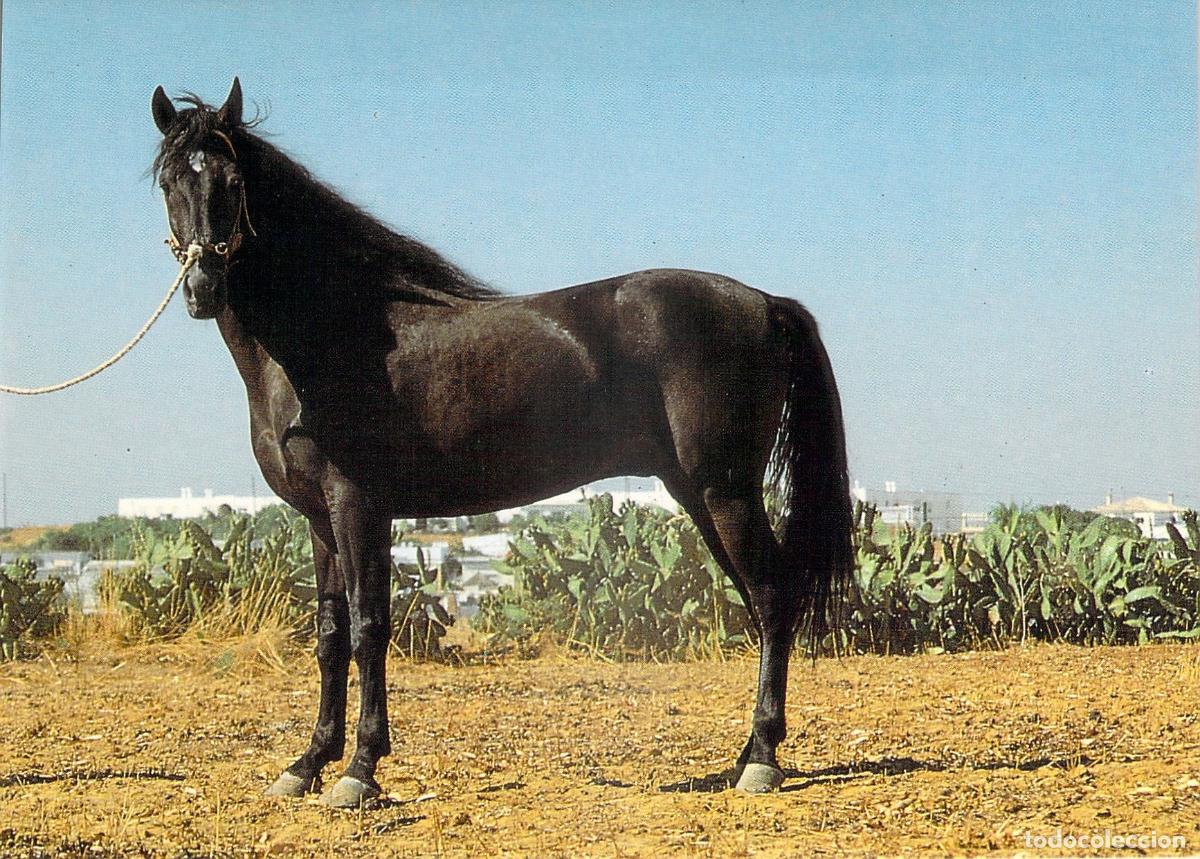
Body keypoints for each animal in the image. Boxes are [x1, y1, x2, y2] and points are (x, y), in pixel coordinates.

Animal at [149, 78, 854, 807]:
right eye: (169, 182)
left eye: (233, 181)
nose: (201, 289)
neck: (332, 334)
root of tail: (765, 301)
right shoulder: (319, 519)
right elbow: (329, 634)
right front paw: (307, 762)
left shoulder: (359, 508)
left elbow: (370, 629)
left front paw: (360, 770)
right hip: (699, 494)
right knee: (761, 602)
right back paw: (744, 755)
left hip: (725, 492)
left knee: (772, 596)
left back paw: (763, 759)